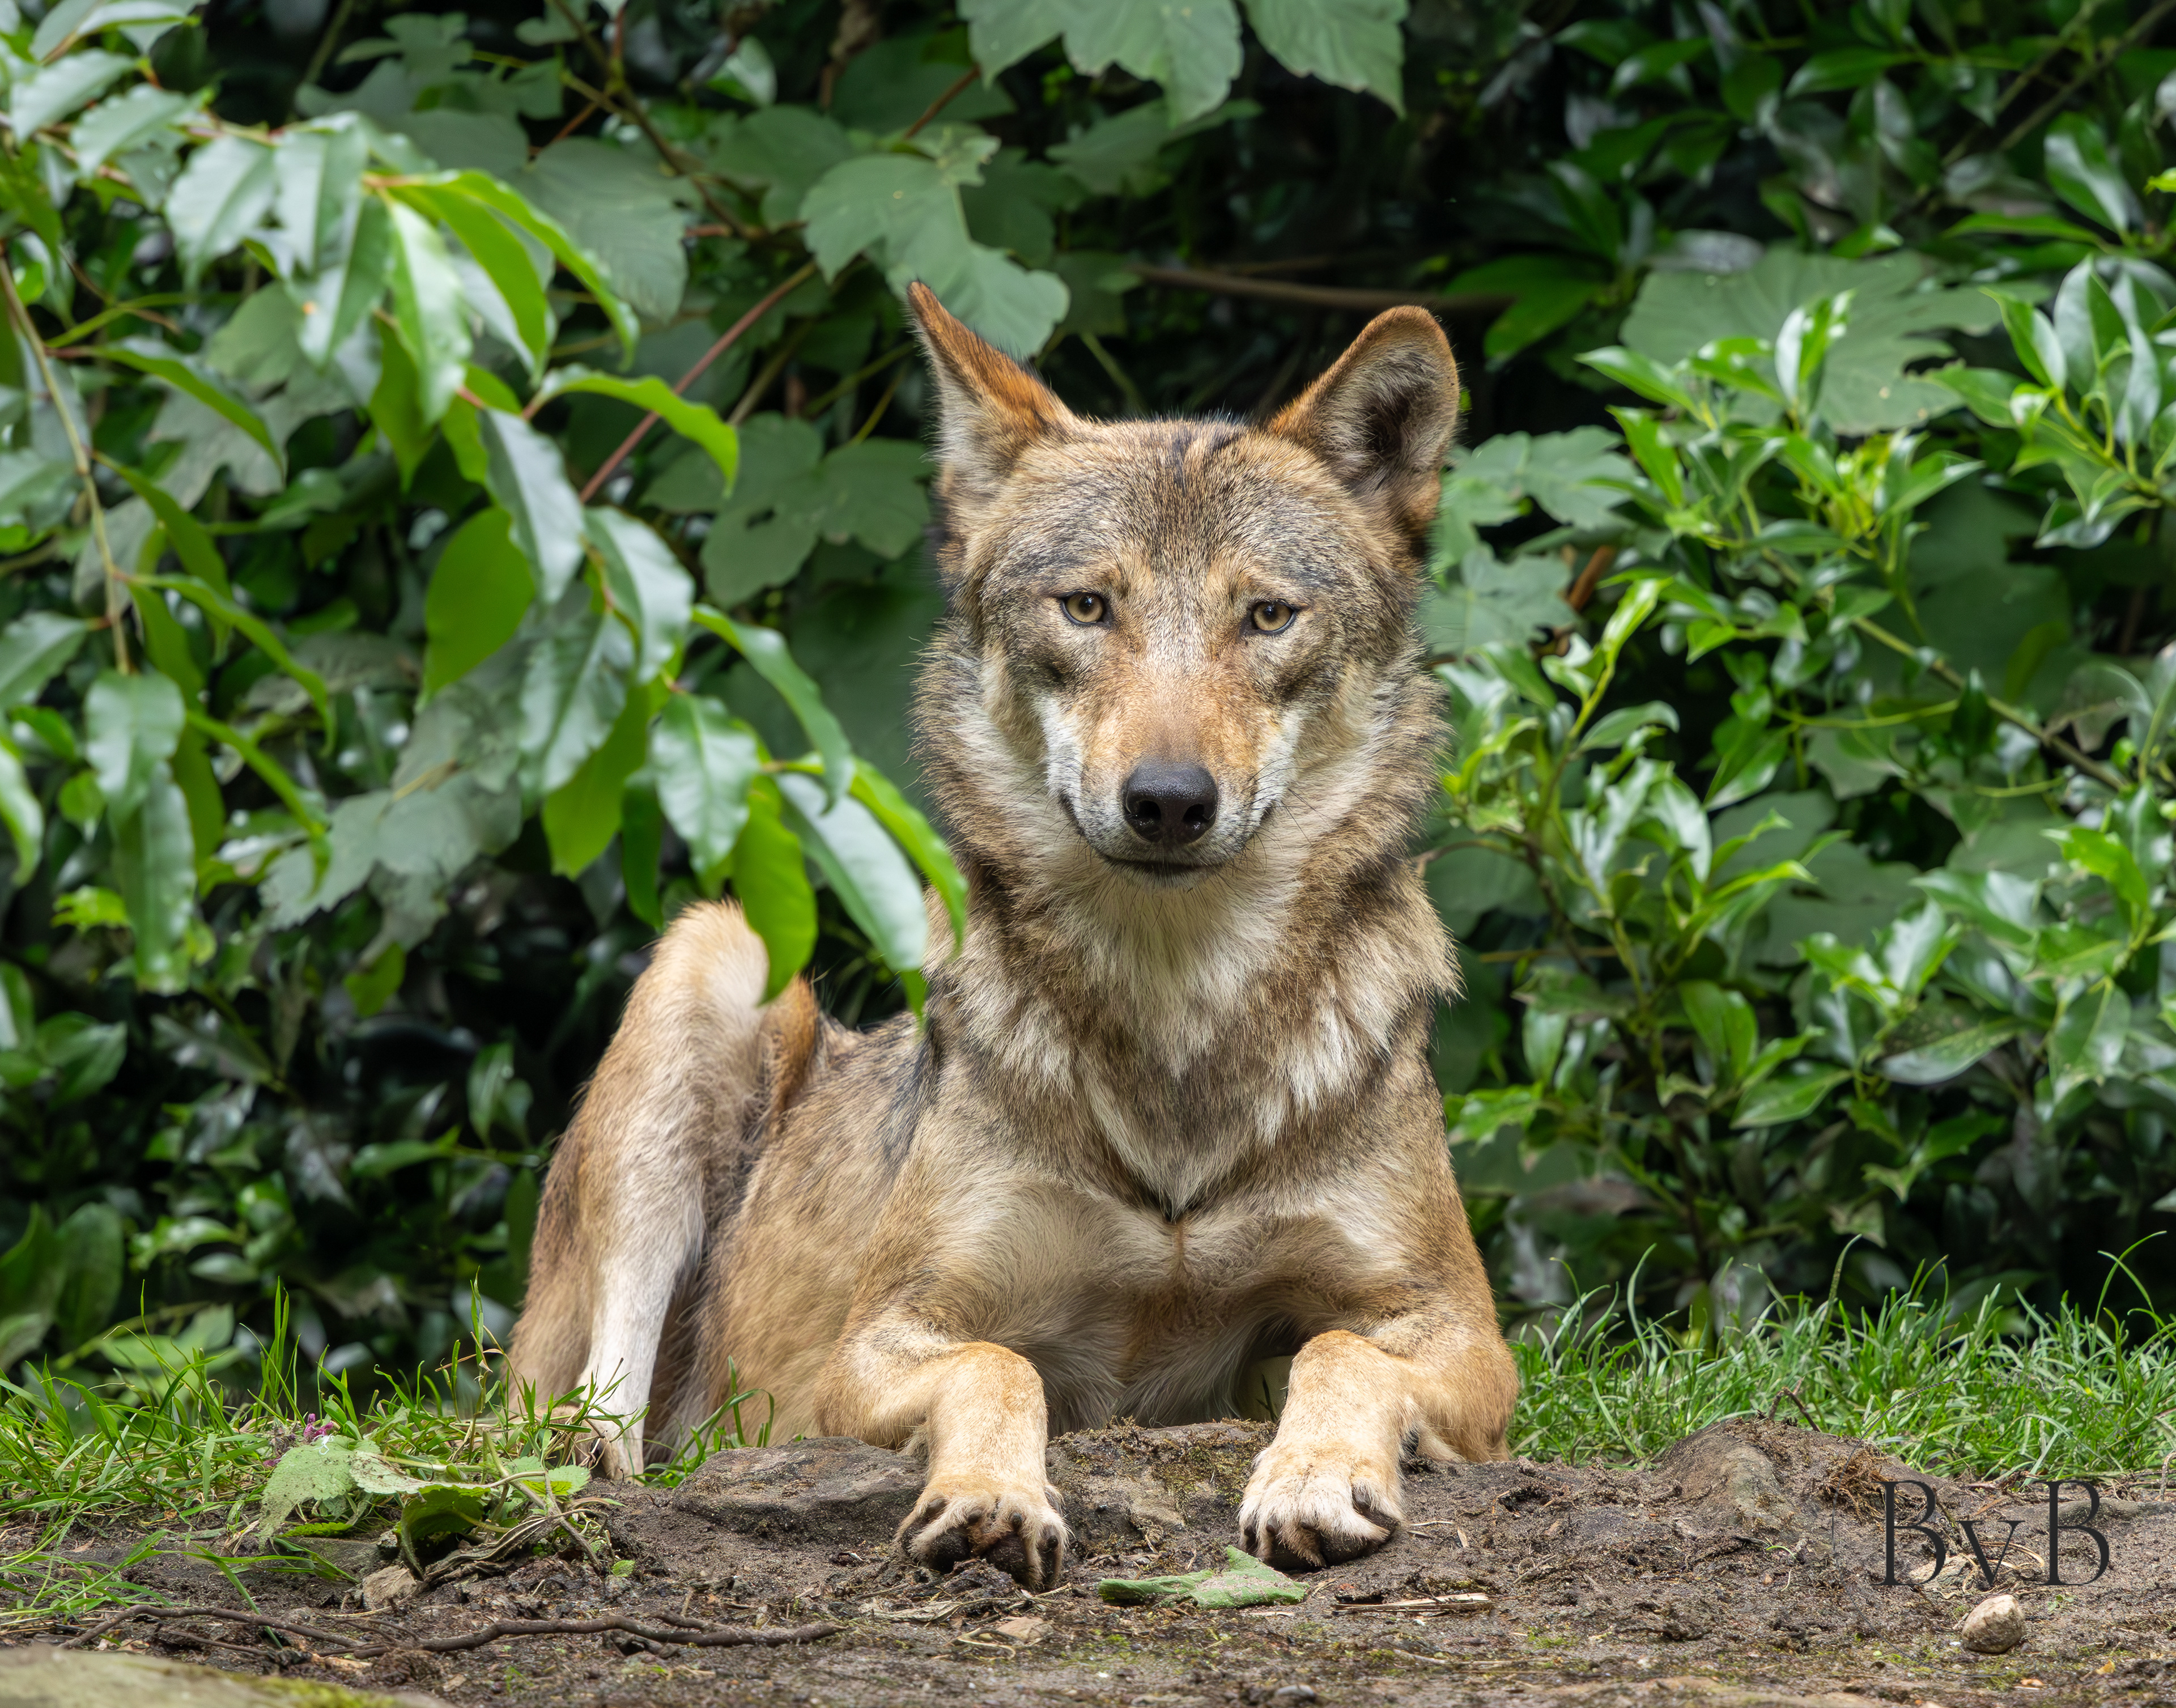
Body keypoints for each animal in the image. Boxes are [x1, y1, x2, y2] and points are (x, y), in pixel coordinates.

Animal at [508, 283, 1518, 1587]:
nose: (1169, 800)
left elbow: (1335, 1350)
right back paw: (593, 1467)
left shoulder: (1462, 1332)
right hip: (713, 960)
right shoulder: (876, 1343)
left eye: (1266, 616)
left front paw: (1314, 1477)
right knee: (593, 1400)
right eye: (1087, 606)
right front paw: (990, 1497)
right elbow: (1004, 1363)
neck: (1173, 1029)